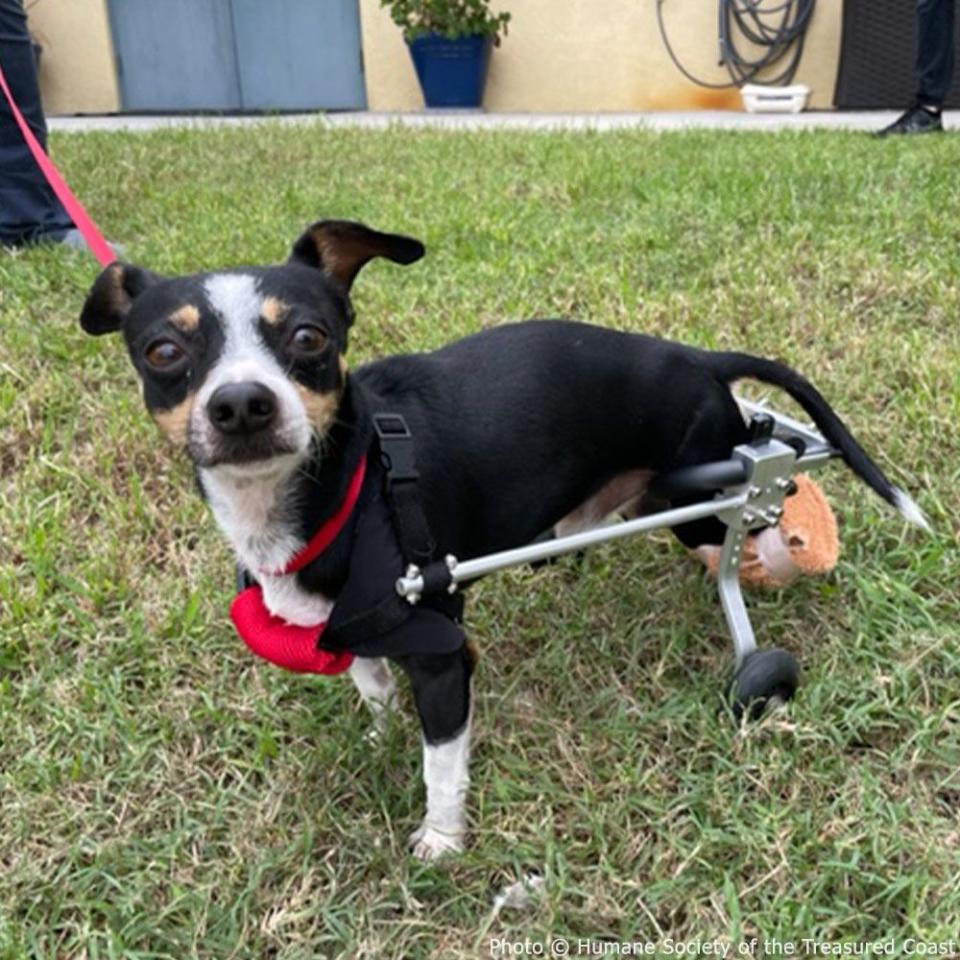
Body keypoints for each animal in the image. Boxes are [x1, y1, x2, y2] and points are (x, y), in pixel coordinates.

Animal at [80, 219, 924, 864]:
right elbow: (370, 682)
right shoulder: (355, 627)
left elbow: (442, 767)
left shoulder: (444, 657)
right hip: (651, 493)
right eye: (162, 352)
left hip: (694, 491)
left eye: (309, 336)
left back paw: (781, 557)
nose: (241, 404)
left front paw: (441, 842)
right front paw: (380, 729)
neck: (344, 491)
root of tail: (695, 357)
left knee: (760, 504)